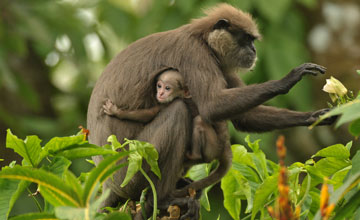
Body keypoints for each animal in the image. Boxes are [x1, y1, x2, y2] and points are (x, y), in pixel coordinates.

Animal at [86, 3, 334, 220]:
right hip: (134, 164)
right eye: (247, 39)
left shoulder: (220, 63)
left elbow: (244, 118)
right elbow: (211, 107)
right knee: (178, 112)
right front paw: (288, 79)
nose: (253, 50)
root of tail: (109, 184)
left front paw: (315, 117)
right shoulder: (194, 53)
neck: (202, 39)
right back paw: (165, 198)